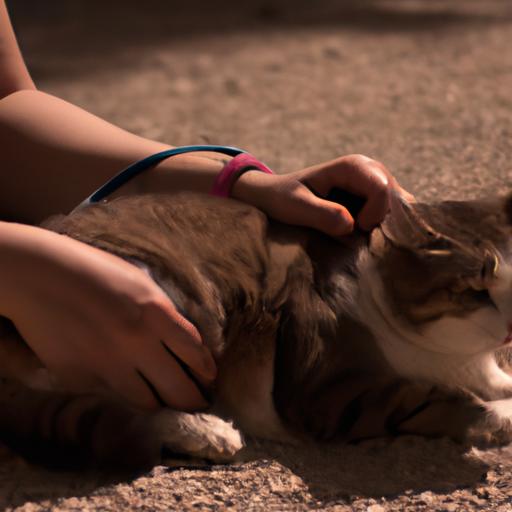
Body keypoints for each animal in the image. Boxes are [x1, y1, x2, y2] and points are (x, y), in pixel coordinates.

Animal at [1, 190, 512, 470]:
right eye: (475, 290)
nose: (509, 327)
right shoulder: (329, 388)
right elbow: (432, 398)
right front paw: (497, 416)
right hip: (177, 310)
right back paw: (207, 430)